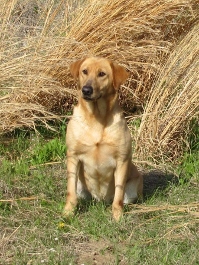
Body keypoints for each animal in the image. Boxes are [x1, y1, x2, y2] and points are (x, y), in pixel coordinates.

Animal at [63, 56, 142, 220]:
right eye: (84, 71)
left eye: (102, 74)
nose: (86, 90)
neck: (96, 117)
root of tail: (101, 200)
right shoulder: (73, 156)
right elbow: (70, 191)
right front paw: (68, 212)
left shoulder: (122, 160)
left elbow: (118, 194)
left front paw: (117, 215)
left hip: (132, 187)